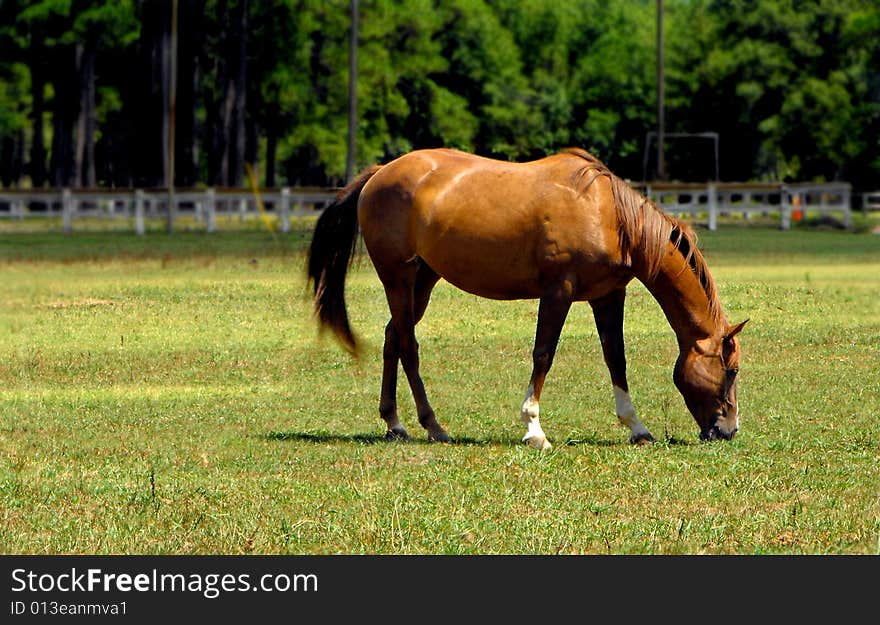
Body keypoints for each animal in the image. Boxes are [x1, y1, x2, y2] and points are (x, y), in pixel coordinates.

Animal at [306, 148, 744, 446]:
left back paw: (394, 422)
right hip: (398, 276)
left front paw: (637, 427)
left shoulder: (607, 296)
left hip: (424, 279)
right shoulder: (558, 292)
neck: (609, 214)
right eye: (732, 371)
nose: (728, 430)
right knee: (408, 346)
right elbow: (543, 355)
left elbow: (615, 359)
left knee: (393, 337)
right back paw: (433, 425)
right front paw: (534, 428)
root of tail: (380, 173)